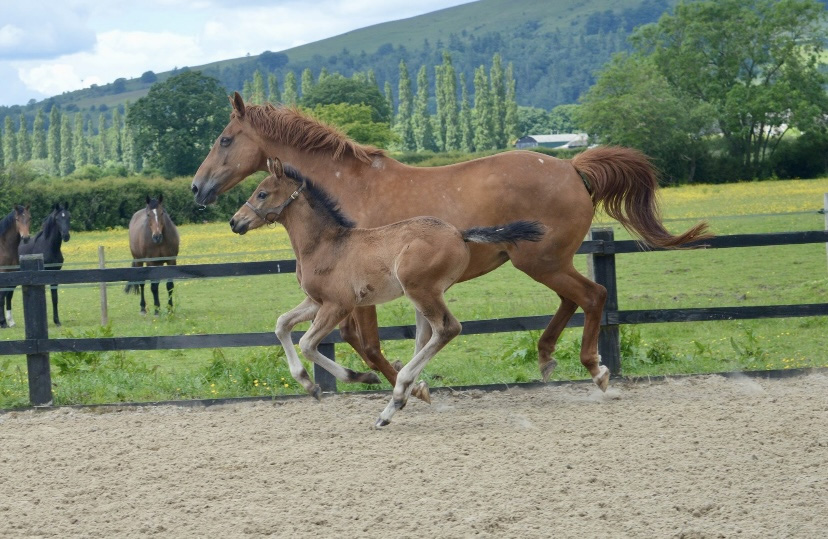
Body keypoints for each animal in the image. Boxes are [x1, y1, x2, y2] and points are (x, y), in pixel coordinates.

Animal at [194, 92, 712, 396]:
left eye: (224, 139)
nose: (197, 189)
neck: (345, 188)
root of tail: (572, 166)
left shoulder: (358, 293)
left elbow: (365, 344)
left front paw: (410, 387)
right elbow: (351, 340)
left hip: (540, 260)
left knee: (593, 295)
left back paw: (595, 369)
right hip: (544, 259)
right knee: (575, 298)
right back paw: (546, 356)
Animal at [230, 158, 548, 428]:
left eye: (262, 194)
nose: (235, 222)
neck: (326, 245)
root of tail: (459, 233)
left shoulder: (339, 304)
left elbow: (307, 343)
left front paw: (361, 376)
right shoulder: (315, 301)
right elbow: (282, 324)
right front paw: (310, 385)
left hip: (419, 289)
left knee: (448, 328)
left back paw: (394, 400)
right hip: (425, 296)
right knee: (427, 337)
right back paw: (402, 398)